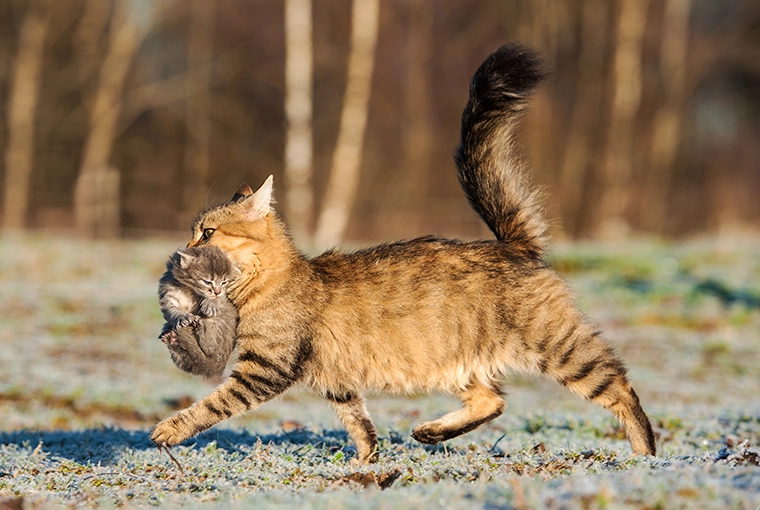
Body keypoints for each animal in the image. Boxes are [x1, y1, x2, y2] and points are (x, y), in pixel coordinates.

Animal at [154, 245, 238, 380]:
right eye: (208, 282)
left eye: (224, 282)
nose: (217, 292)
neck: (188, 289)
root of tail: (218, 367)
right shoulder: (168, 296)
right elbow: (172, 311)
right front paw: (182, 317)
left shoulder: (224, 299)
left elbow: (221, 298)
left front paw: (211, 303)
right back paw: (172, 338)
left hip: (223, 322)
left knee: (212, 348)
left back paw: (201, 326)